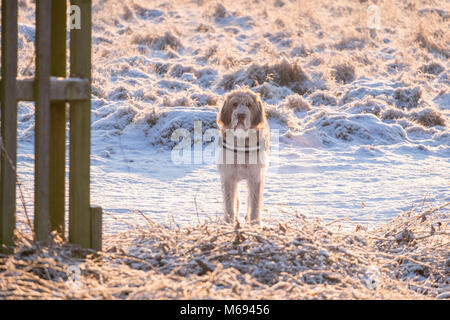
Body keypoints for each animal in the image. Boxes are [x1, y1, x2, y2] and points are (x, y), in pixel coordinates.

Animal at [216, 88, 268, 225]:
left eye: (249, 105)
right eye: (234, 104)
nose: (241, 115)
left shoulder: (255, 176)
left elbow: (254, 203)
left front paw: (254, 224)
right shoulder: (228, 177)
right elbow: (229, 202)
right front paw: (229, 223)